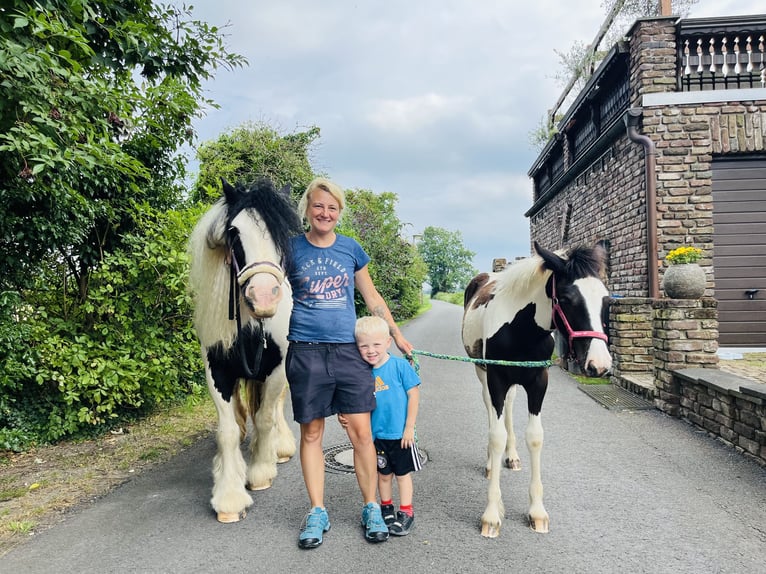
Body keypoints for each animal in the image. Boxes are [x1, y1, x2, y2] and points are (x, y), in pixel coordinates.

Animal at [188, 180, 304, 528]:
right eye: (234, 232)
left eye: (281, 234)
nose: (263, 297)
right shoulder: (217, 370)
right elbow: (226, 431)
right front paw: (229, 495)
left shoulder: (276, 369)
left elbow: (265, 417)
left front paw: (261, 471)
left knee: (274, 409)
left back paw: (280, 447)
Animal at [462, 241, 612, 536]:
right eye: (566, 299)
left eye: (606, 300)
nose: (599, 365)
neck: (520, 330)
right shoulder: (496, 377)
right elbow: (496, 436)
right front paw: (492, 514)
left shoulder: (539, 381)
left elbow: (534, 436)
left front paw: (537, 511)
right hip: (481, 372)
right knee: (490, 409)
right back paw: (491, 463)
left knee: (508, 407)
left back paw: (511, 457)